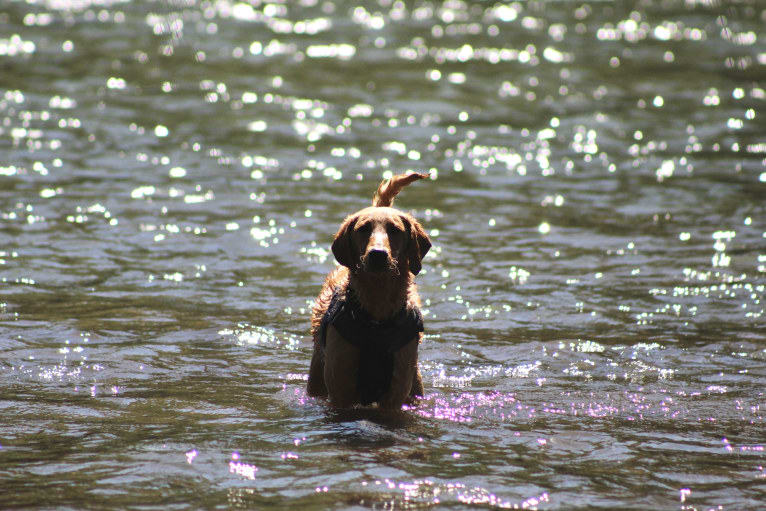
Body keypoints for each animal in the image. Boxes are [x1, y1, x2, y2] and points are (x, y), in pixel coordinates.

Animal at [308, 174, 436, 410]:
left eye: (395, 230)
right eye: (363, 228)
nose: (377, 254)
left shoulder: (396, 393)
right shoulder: (340, 390)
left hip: (415, 384)